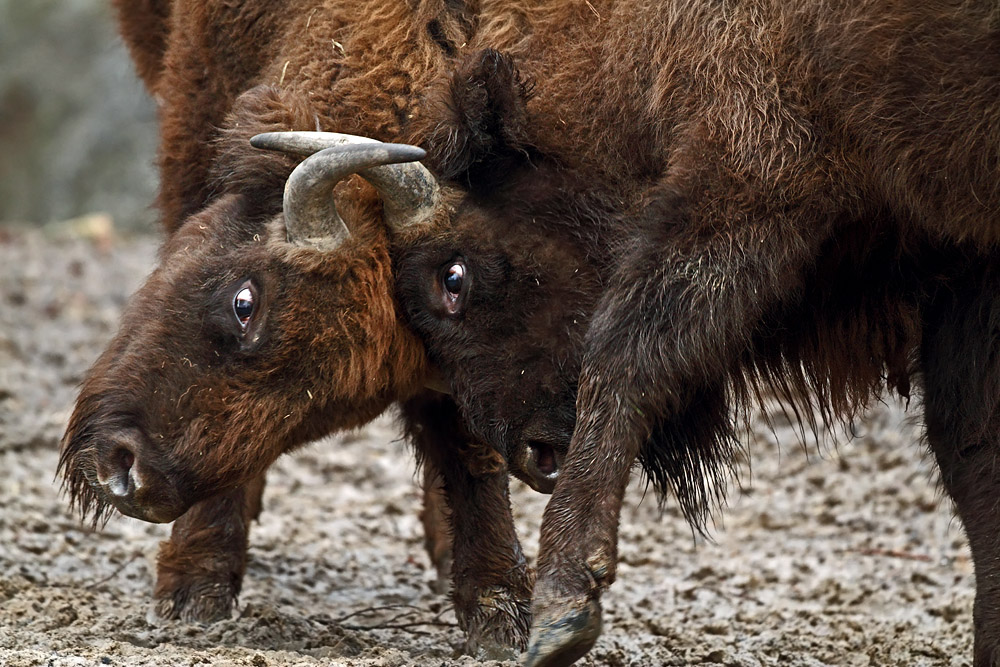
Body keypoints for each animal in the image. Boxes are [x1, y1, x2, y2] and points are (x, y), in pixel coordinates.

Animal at [374, 1, 1000, 667]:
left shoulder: (754, 167)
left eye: (452, 277)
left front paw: (563, 606)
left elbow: (629, 352)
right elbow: (972, 449)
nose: (527, 452)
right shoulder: (970, 260)